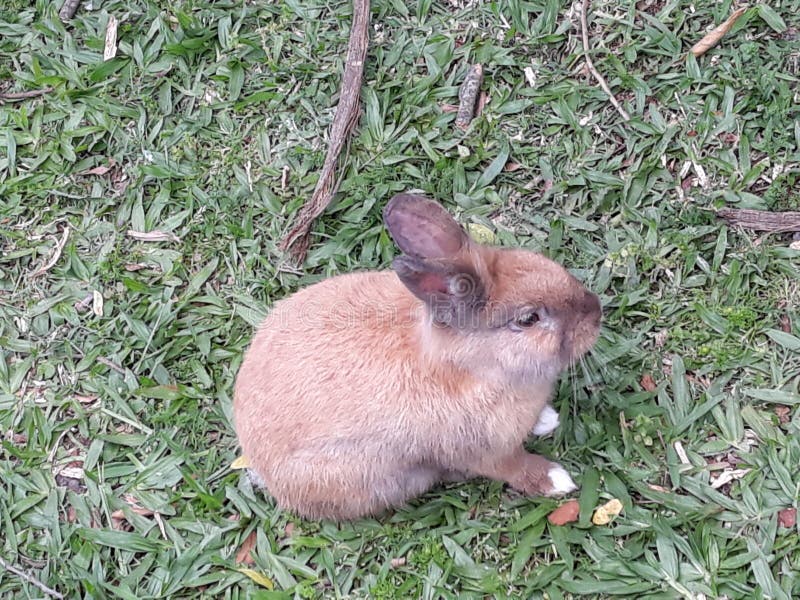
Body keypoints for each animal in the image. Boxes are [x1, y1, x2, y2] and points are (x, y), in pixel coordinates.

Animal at [234, 193, 604, 520]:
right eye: (528, 319)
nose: (596, 311)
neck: (474, 368)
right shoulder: (486, 452)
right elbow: (517, 469)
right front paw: (557, 481)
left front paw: (546, 419)